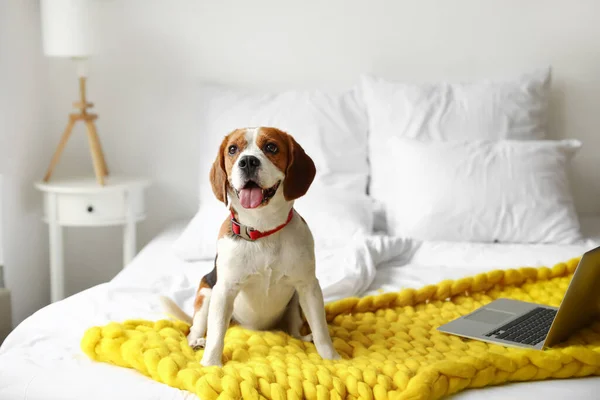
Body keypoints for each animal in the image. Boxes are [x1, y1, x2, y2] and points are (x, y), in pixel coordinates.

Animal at [163, 126, 342, 368]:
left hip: (295, 302)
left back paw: (305, 337)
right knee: (196, 327)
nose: (248, 161)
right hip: (206, 294)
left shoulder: (309, 287)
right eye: (232, 149)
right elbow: (216, 334)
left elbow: (322, 329)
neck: (263, 230)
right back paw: (196, 341)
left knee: (294, 331)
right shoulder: (224, 291)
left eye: (271, 147)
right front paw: (211, 365)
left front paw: (332, 359)